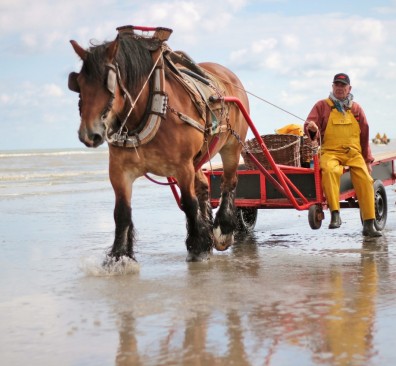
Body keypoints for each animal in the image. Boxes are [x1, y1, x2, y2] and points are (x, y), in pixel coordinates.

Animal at [67, 26, 248, 264]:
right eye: (78, 84)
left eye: (109, 84)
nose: (90, 134)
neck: (149, 109)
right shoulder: (119, 170)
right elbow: (121, 212)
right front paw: (119, 257)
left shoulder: (182, 167)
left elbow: (188, 203)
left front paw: (198, 246)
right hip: (198, 159)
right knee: (203, 187)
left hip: (232, 147)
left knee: (229, 182)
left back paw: (223, 230)